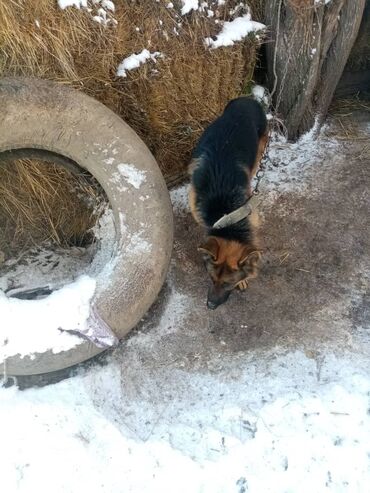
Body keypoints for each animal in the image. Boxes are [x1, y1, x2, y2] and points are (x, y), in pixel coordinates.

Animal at [189, 96, 268, 308]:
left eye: (228, 283)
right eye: (211, 279)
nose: (210, 306)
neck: (225, 213)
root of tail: (246, 99)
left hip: (260, 149)